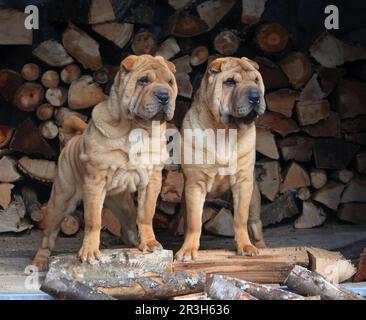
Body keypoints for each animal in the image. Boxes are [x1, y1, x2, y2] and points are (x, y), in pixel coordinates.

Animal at [32, 55, 178, 270]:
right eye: (143, 80)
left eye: (170, 82)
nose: (163, 95)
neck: (135, 128)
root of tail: (73, 140)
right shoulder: (95, 181)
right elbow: (94, 221)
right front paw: (89, 252)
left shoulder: (152, 180)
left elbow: (146, 214)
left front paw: (150, 243)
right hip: (61, 200)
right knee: (47, 237)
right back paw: (39, 262)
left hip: (124, 204)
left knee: (129, 226)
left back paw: (136, 243)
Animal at [177, 56, 266, 262]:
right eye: (230, 82)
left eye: (256, 80)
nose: (255, 96)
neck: (225, 131)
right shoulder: (195, 184)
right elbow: (194, 223)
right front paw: (187, 250)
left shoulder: (243, 184)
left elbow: (240, 219)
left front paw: (245, 247)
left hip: (254, 197)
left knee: (255, 226)